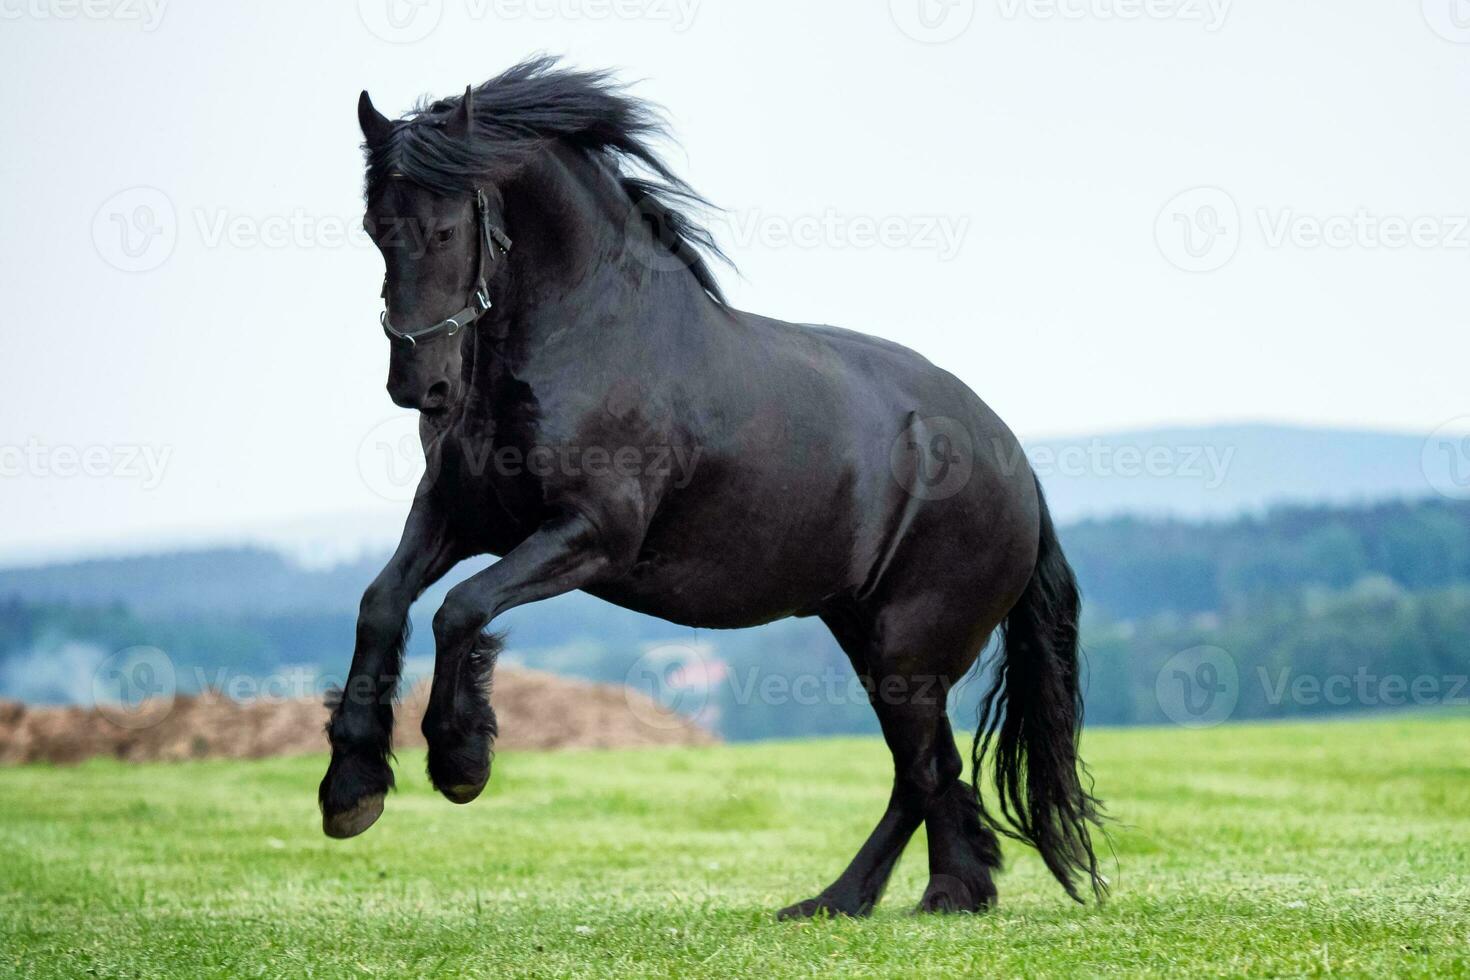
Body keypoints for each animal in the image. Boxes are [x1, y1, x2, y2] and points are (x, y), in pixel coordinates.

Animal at [321, 57, 1105, 916]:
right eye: (374, 230)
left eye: (445, 230)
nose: (418, 387)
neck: (586, 337)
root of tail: (1016, 464)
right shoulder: (457, 519)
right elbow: (381, 603)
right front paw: (351, 790)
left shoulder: (590, 535)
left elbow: (460, 610)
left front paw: (462, 762)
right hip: (865, 631)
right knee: (934, 770)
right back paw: (918, 894)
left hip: (909, 643)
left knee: (923, 769)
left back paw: (870, 898)